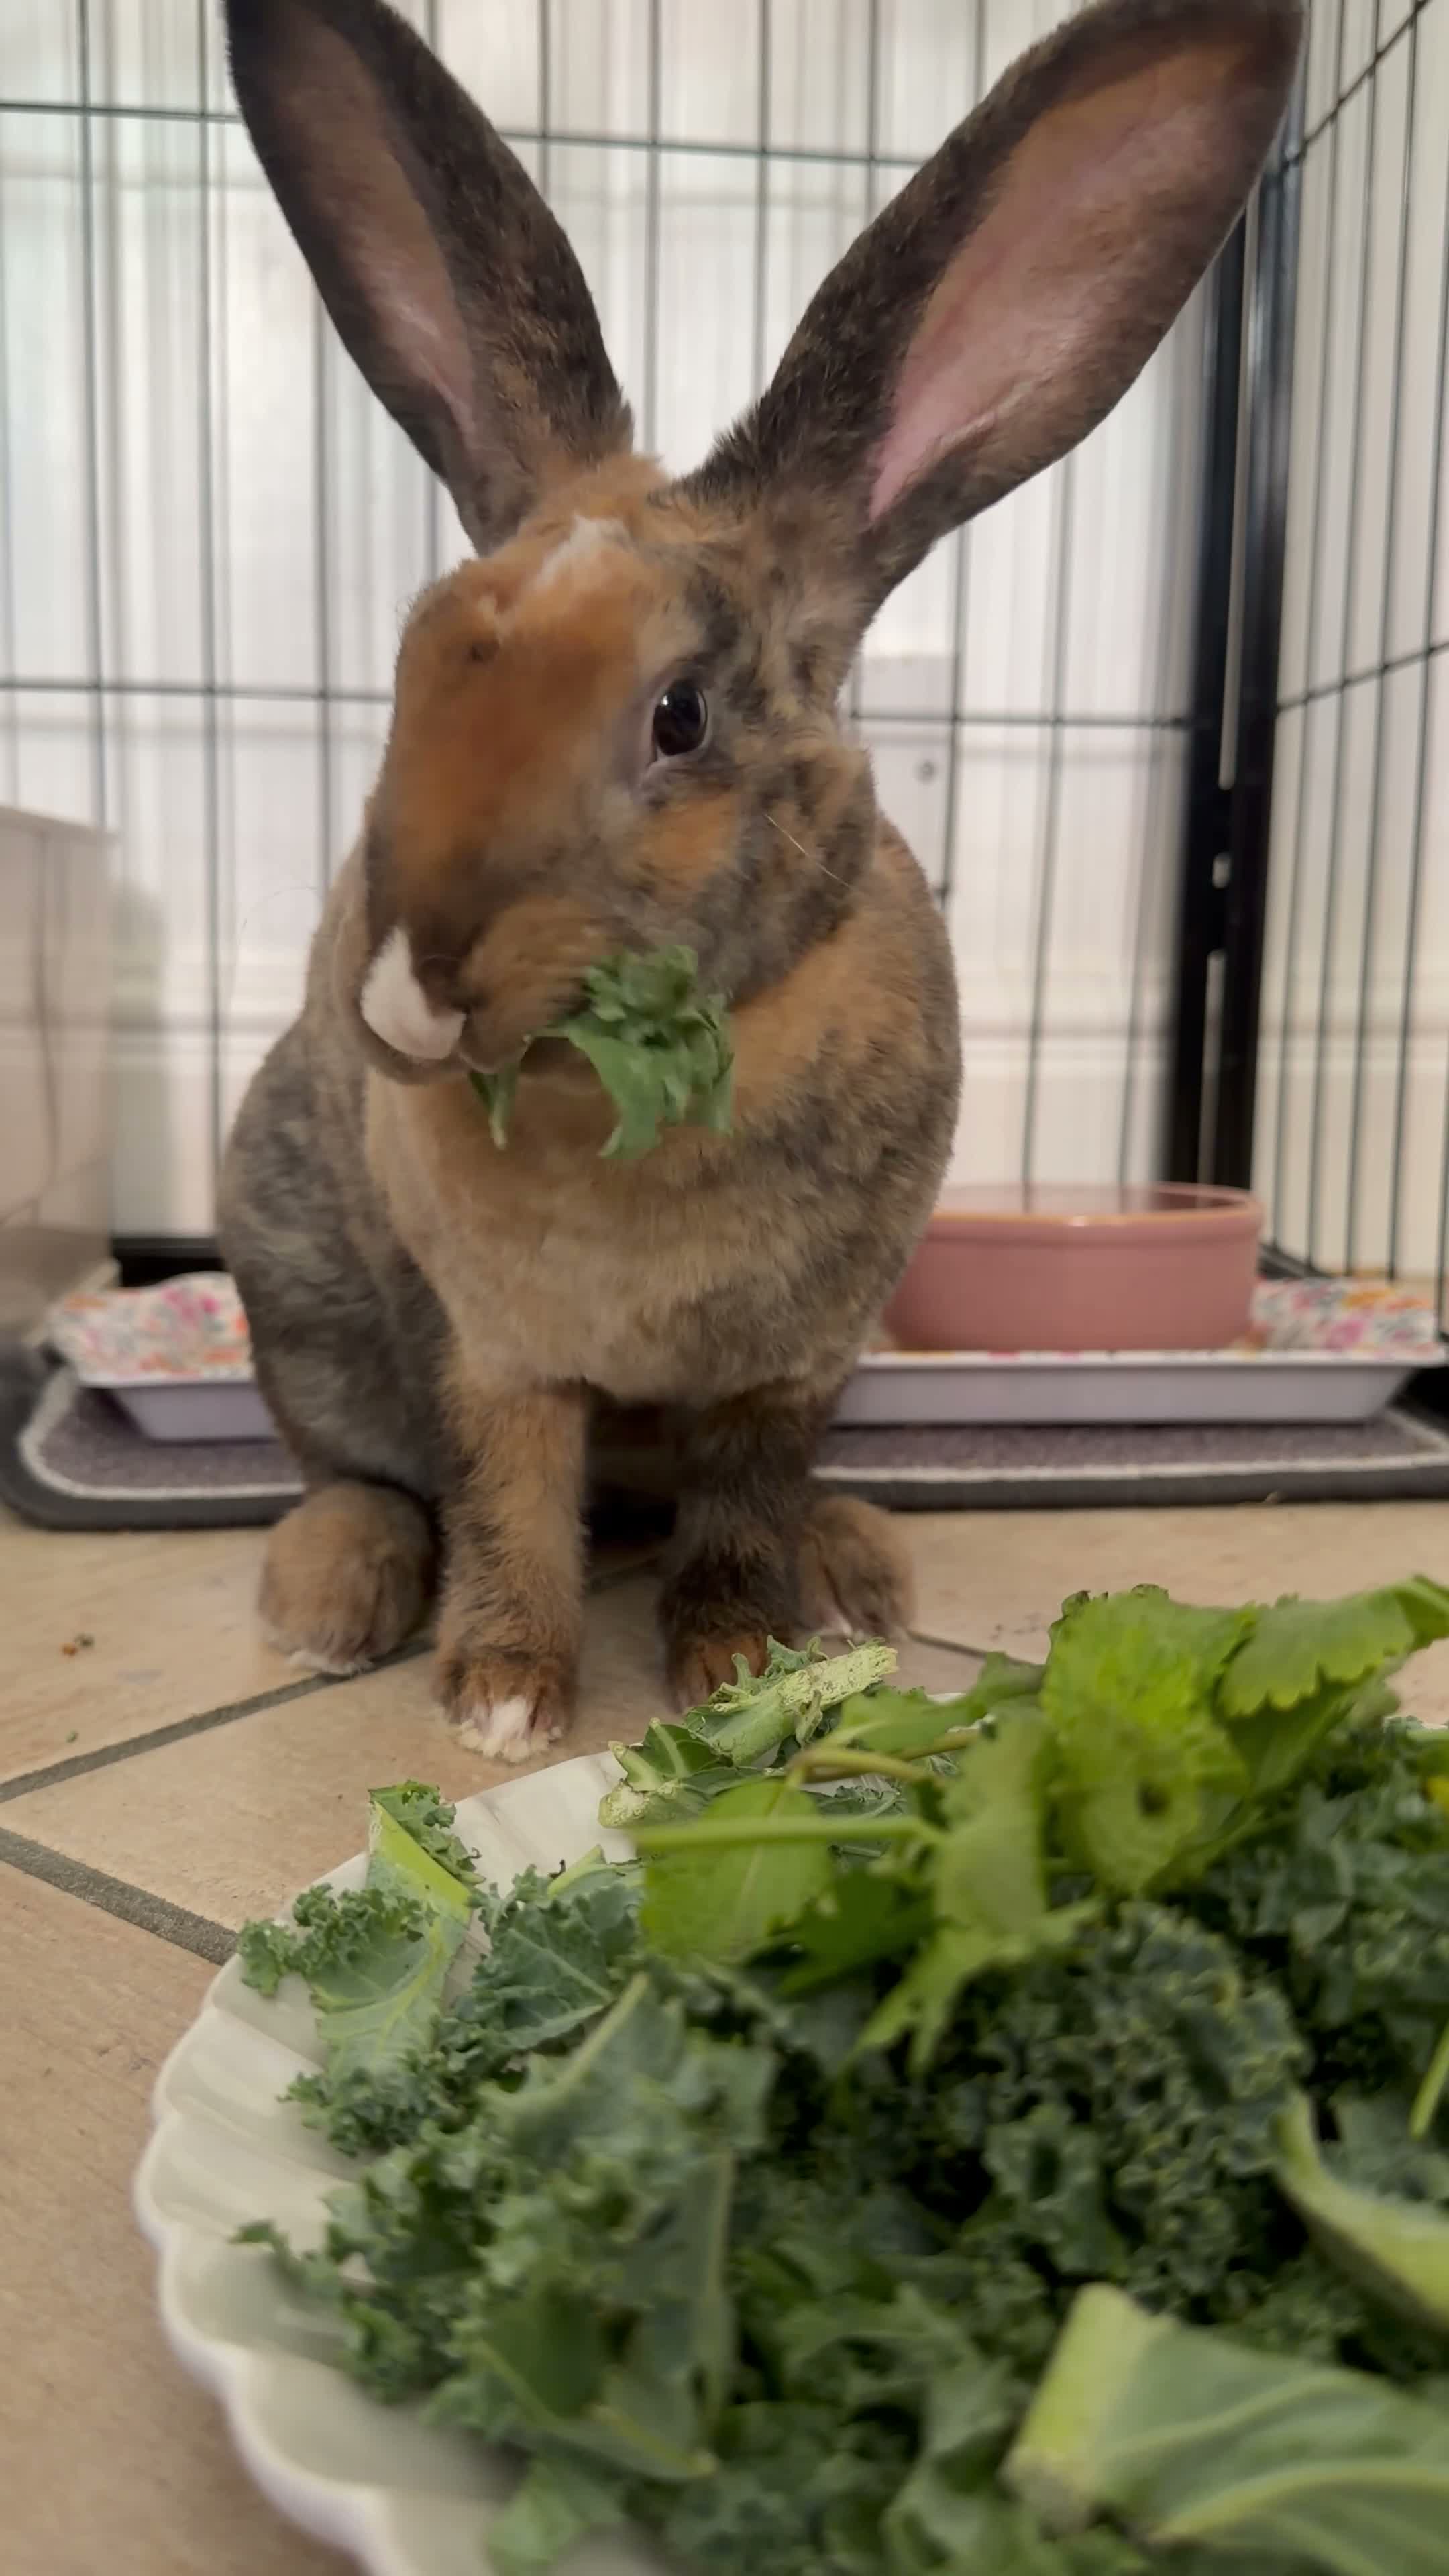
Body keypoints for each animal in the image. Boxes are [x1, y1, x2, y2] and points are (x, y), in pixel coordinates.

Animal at [219, 0, 1303, 1761]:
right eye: (414, 661)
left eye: (680, 715)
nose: (401, 990)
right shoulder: (493, 1350)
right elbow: (509, 1499)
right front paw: (504, 1700)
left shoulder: (788, 1361)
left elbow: (739, 1501)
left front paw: (739, 1664)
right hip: (295, 1278)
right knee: (357, 1474)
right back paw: (330, 1594)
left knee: (726, 1504)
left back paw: (855, 1565)